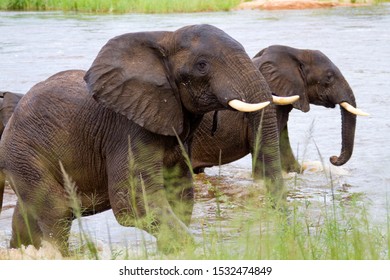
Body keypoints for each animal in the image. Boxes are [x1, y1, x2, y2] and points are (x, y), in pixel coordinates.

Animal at [0, 25, 282, 255]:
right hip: (24, 152)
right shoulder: (128, 130)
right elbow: (132, 200)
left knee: (26, 214)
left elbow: (180, 194)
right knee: (58, 210)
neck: (165, 38)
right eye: (202, 65)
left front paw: (172, 251)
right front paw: (190, 249)